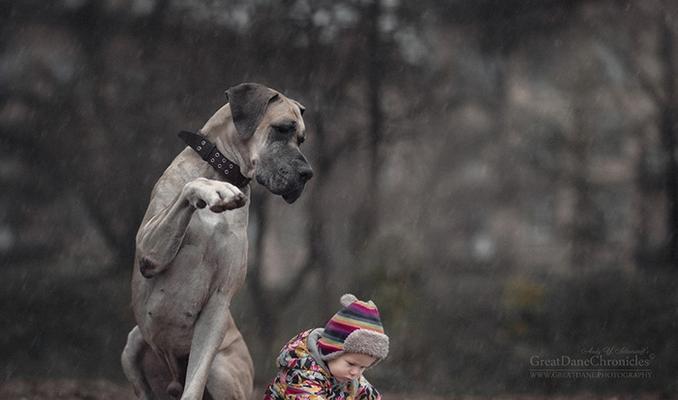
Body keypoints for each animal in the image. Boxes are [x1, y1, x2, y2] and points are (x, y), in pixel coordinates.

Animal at [121, 83, 314, 400]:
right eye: (282, 128)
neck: (221, 169)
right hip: (133, 344)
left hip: (221, 368)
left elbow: (195, 382)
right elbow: (192, 185)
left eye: (301, 139)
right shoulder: (149, 253)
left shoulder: (218, 303)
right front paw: (216, 190)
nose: (307, 174)